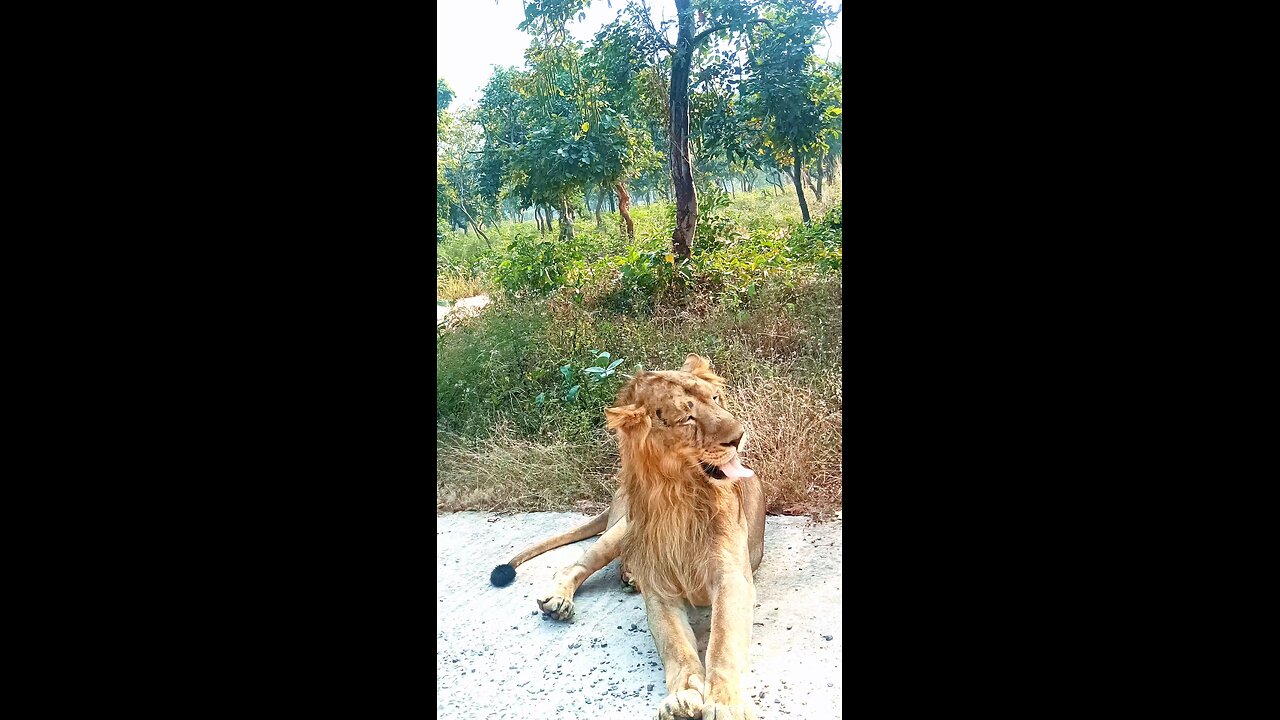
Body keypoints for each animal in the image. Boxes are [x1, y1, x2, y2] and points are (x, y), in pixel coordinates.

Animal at [488, 353, 757, 717]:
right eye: (686, 417)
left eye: (716, 398)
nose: (739, 436)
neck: (678, 495)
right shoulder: (659, 589)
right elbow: (675, 647)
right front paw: (683, 695)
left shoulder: (732, 577)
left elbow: (722, 643)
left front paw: (725, 703)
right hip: (622, 529)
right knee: (575, 565)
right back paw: (561, 600)